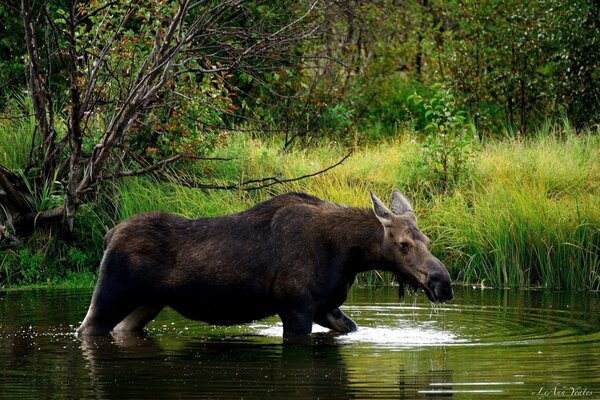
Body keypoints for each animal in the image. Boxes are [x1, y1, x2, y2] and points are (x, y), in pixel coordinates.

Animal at [77, 190, 452, 338]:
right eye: (403, 245)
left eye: (428, 241)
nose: (442, 283)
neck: (349, 257)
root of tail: (109, 235)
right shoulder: (295, 307)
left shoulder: (325, 307)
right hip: (111, 296)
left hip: (145, 305)